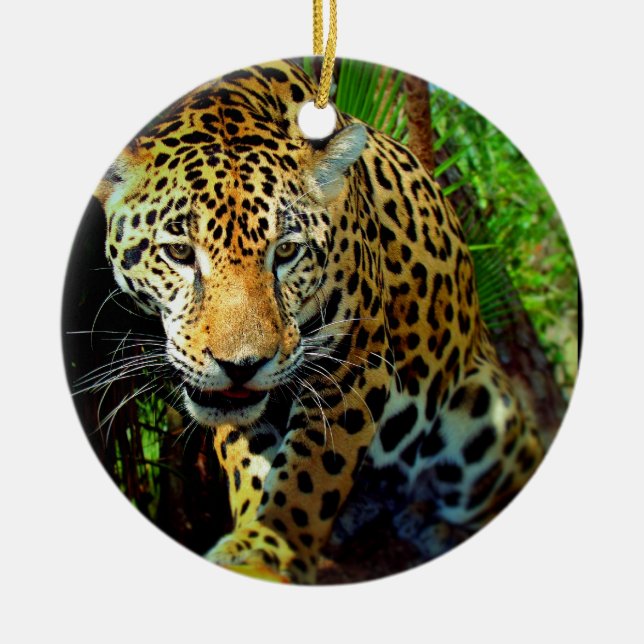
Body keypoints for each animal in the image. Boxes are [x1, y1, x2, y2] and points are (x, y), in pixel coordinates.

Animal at [94, 59, 544, 584]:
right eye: (180, 253)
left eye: (287, 252)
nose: (241, 366)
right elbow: (251, 466)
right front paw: (252, 539)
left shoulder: (354, 365)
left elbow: (312, 474)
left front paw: (271, 546)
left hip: (486, 415)